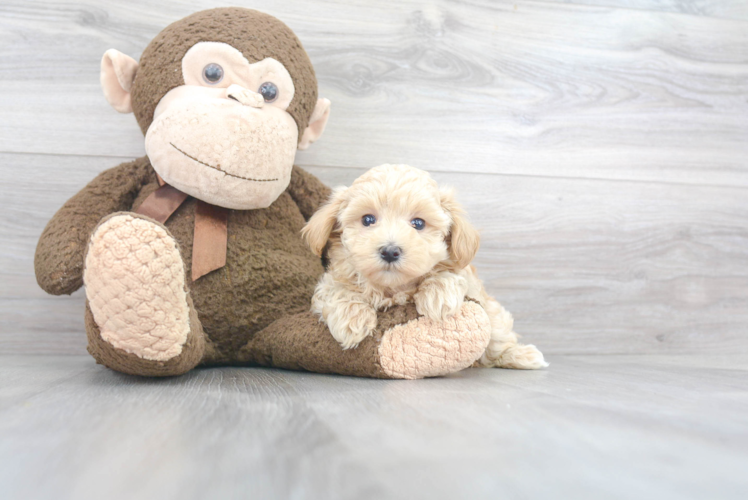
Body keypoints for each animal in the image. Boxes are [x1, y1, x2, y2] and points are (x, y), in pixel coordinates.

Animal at [300, 164, 548, 368]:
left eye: (418, 223)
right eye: (368, 220)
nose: (390, 251)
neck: (394, 288)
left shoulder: (467, 277)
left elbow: (449, 274)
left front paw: (438, 296)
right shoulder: (330, 282)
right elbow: (338, 290)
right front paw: (351, 320)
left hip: (494, 315)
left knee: (497, 337)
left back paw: (521, 355)